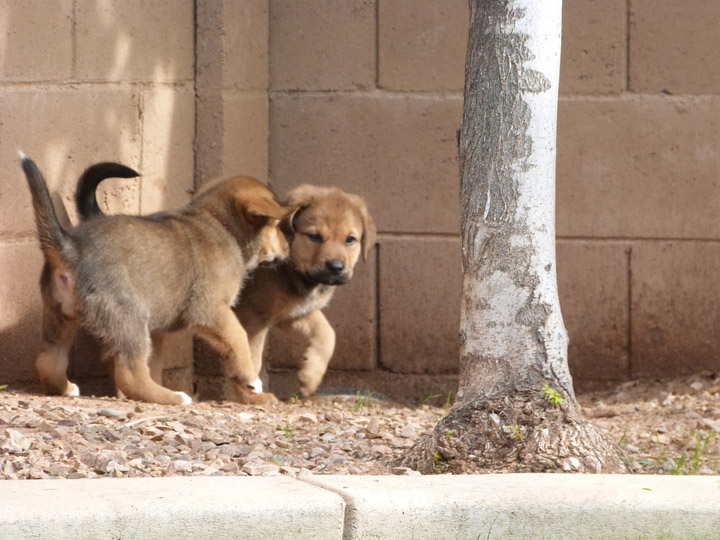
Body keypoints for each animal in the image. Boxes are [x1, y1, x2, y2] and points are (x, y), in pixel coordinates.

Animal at [20, 152, 290, 404]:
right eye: (277, 226)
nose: (288, 249)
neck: (220, 224)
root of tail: (71, 249)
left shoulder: (159, 330)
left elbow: (157, 364)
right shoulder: (211, 310)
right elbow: (239, 337)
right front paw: (251, 381)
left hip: (60, 319)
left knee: (49, 361)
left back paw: (67, 388)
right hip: (130, 319)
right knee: (129, 374)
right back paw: (173, 397)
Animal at [235, 184, 376, 402]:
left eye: (350, 240)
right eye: (315, 237)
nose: (336, 268)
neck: (290, 270)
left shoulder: (292, 313)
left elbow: (327, 333)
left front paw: (310, 376)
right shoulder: (254, 317)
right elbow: (250, 356)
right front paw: (251, 397)